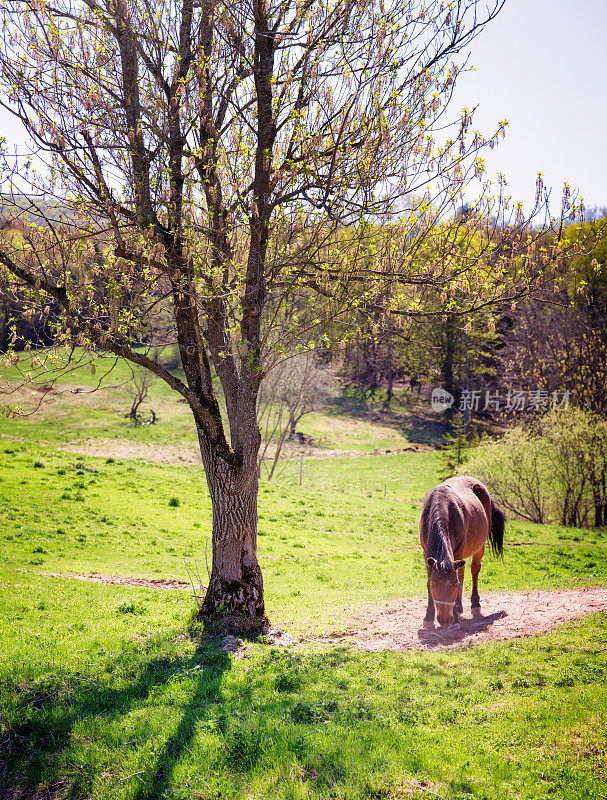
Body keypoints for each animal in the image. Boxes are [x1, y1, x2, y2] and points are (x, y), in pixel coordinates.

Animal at [420, 478, 506, 628]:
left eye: (454, 585)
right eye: (434, 585)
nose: (445, 620)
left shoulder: (458, 552)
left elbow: (459, 577)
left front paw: (454, 617)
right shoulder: (426, 553)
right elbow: (430, 578)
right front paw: (429, 616)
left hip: (479, 546)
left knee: (474, 569)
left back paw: (474, 604)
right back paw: (459, 607)